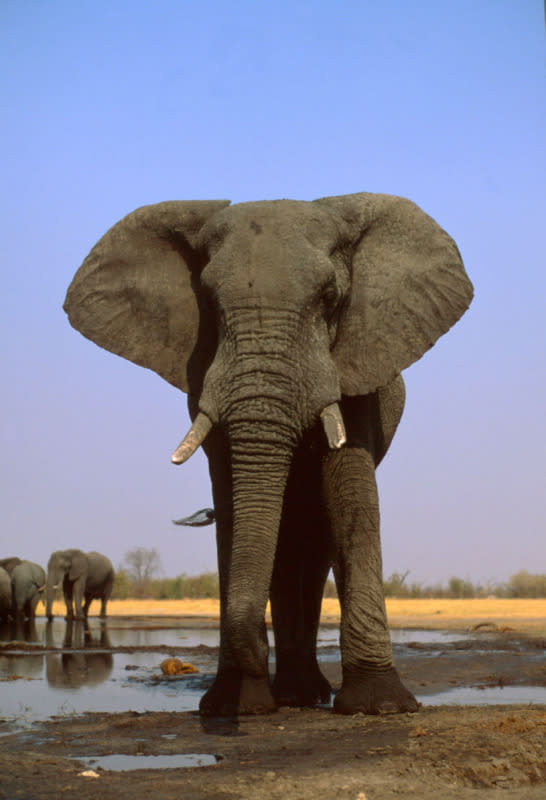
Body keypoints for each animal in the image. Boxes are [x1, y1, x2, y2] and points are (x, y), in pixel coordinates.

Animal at [63, 192, 472, 712]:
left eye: (329, 298)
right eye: (209, 301)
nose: (258, 648)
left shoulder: (357, 367)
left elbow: (349, 498)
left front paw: (381, 706)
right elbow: (235, 504)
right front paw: (235, 706)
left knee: (314, 538)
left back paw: (305, 694)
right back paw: (295, 694)